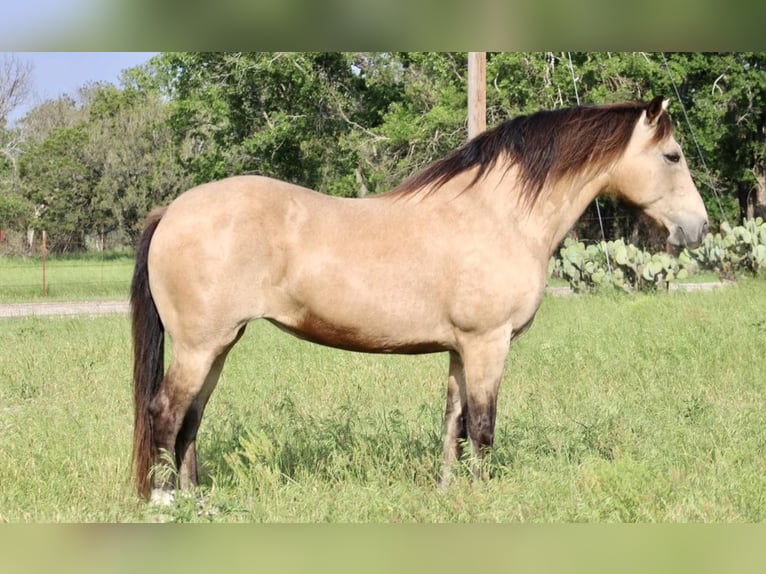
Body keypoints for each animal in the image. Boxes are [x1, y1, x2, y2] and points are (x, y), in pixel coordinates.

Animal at [130, 95, 708, 504]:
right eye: (672, 155)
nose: (698, 228)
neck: (499, 215)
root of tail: (172, 211)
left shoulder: (459, 350)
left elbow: (453, 424)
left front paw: (449, 492)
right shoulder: (487, 345)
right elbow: (483, 426)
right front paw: (483, 497)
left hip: (218, 346)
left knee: (190, 420)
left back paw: (197, 502)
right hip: (200, 347)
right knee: (165, 413)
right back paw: (165, 502)